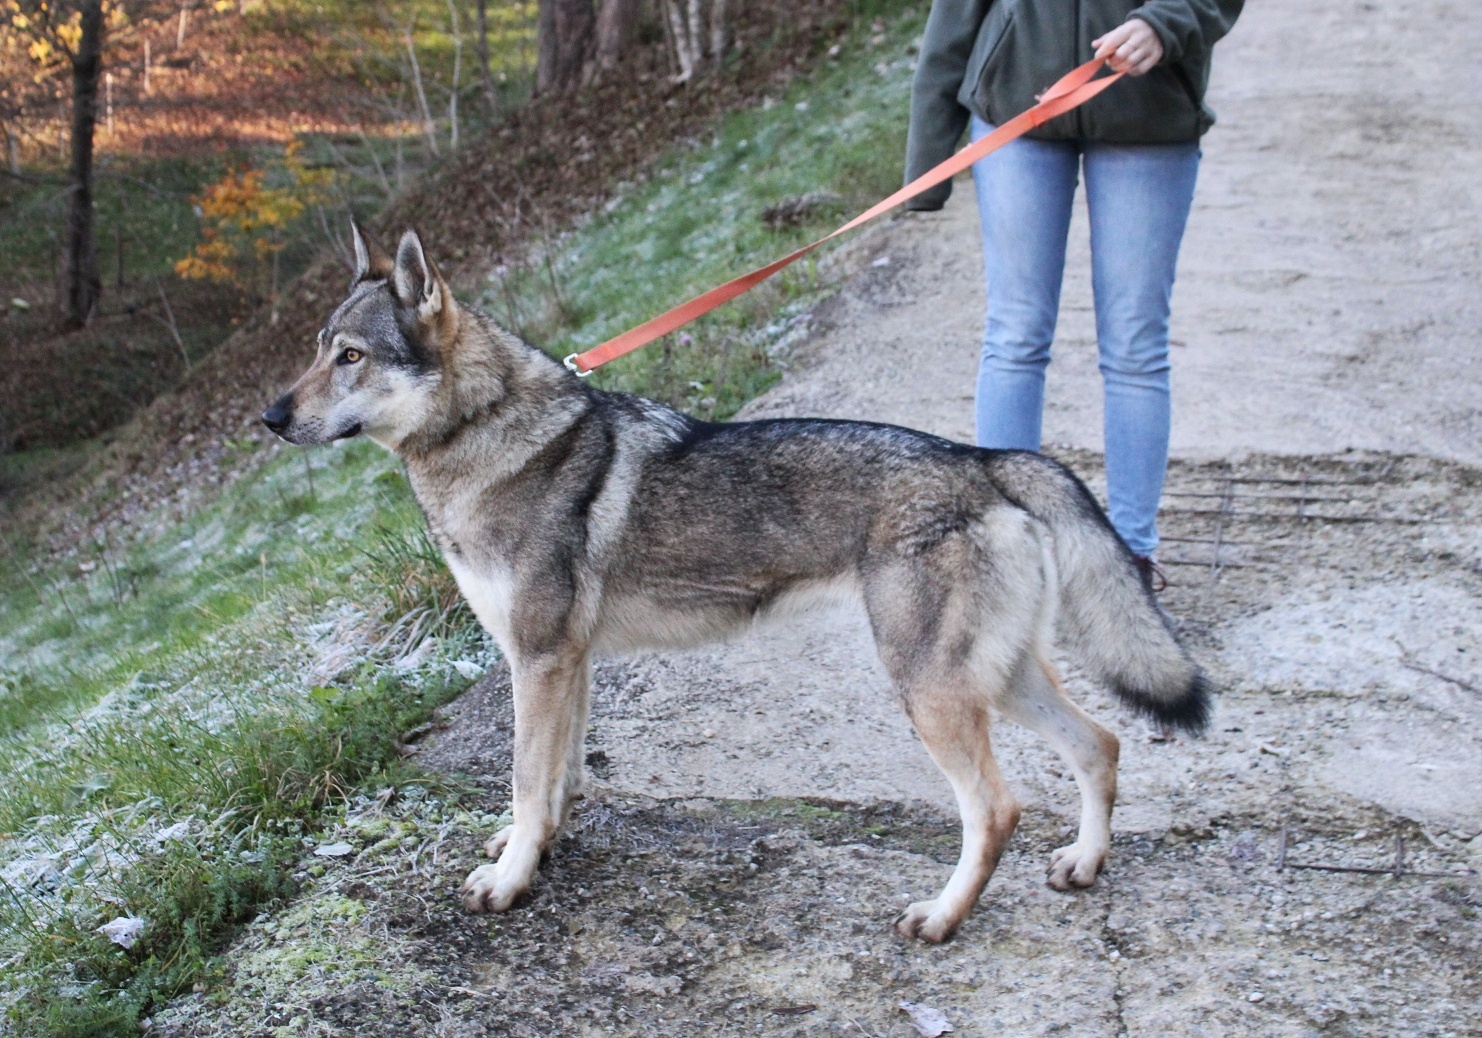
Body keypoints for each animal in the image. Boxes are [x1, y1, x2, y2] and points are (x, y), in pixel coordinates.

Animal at [262, 225, 1209, 943]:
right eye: (312, 353)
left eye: (350, 357)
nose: (269, 417)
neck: (488, 435)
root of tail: (984, 458)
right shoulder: (568, 664)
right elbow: (558, 778)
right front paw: (537, 850)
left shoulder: (538, 660)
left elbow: (528, 781)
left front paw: (508, 880)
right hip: (998, 680)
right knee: (1100, 744)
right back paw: (1083, 863)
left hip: (930, 691)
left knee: (999, 808)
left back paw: (940, 918)